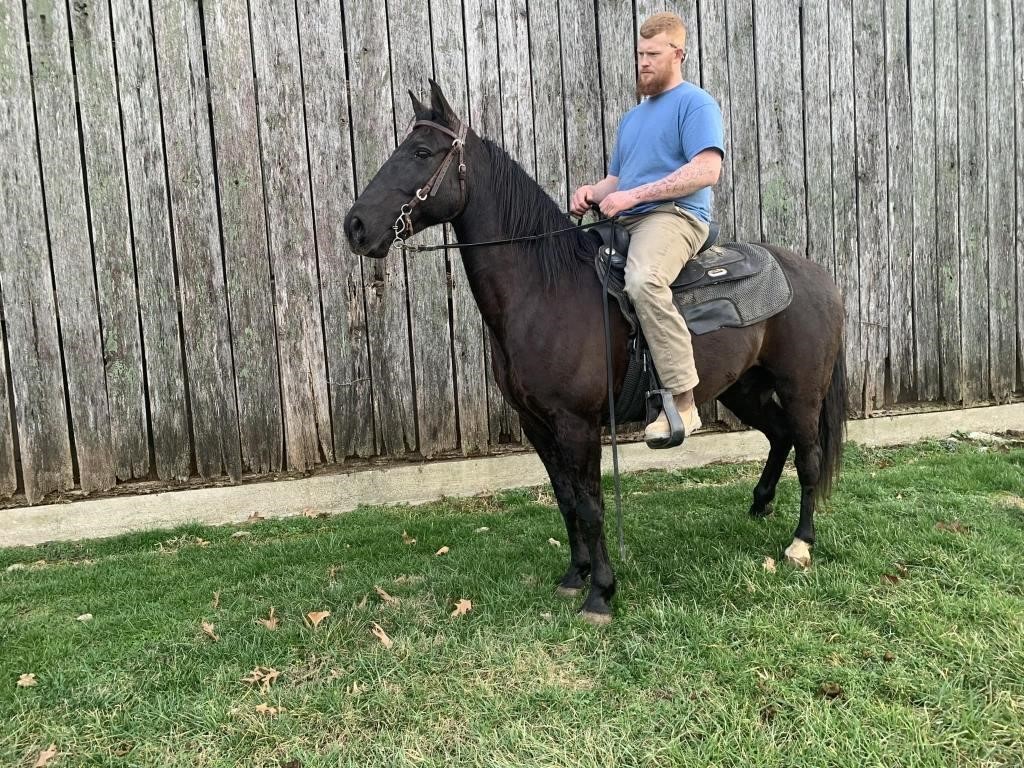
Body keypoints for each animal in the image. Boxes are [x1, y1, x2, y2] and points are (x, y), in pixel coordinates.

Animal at [346, 83, 847, 626]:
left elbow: (590, 506)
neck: (546, 290)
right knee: (778, 436)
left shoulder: (577, 424)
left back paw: (800, 544)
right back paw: (759, 506)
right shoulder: (536, 423)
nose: (355, 226)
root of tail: (816, 277)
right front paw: (575, 575)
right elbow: (566, 499)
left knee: (809, 456)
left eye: (420, 153)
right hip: (743, 389)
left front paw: (601, 593)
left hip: (802, 391)